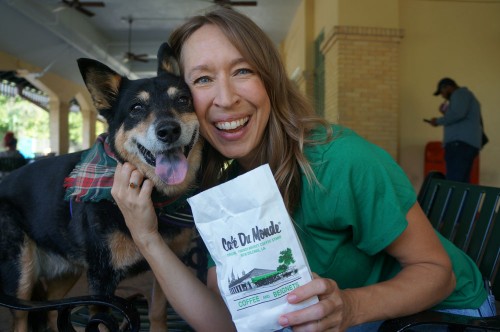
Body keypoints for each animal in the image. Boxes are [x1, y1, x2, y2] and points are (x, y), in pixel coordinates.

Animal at [0, 42, 203, 330]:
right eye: (136, 108)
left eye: (183, 100)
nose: (169, 130)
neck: (157, 199)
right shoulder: (102, 282)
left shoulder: (166, 266)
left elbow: (158, 312)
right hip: (20, 271)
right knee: (22, 318)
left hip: (67, 270)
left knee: (51, 309)